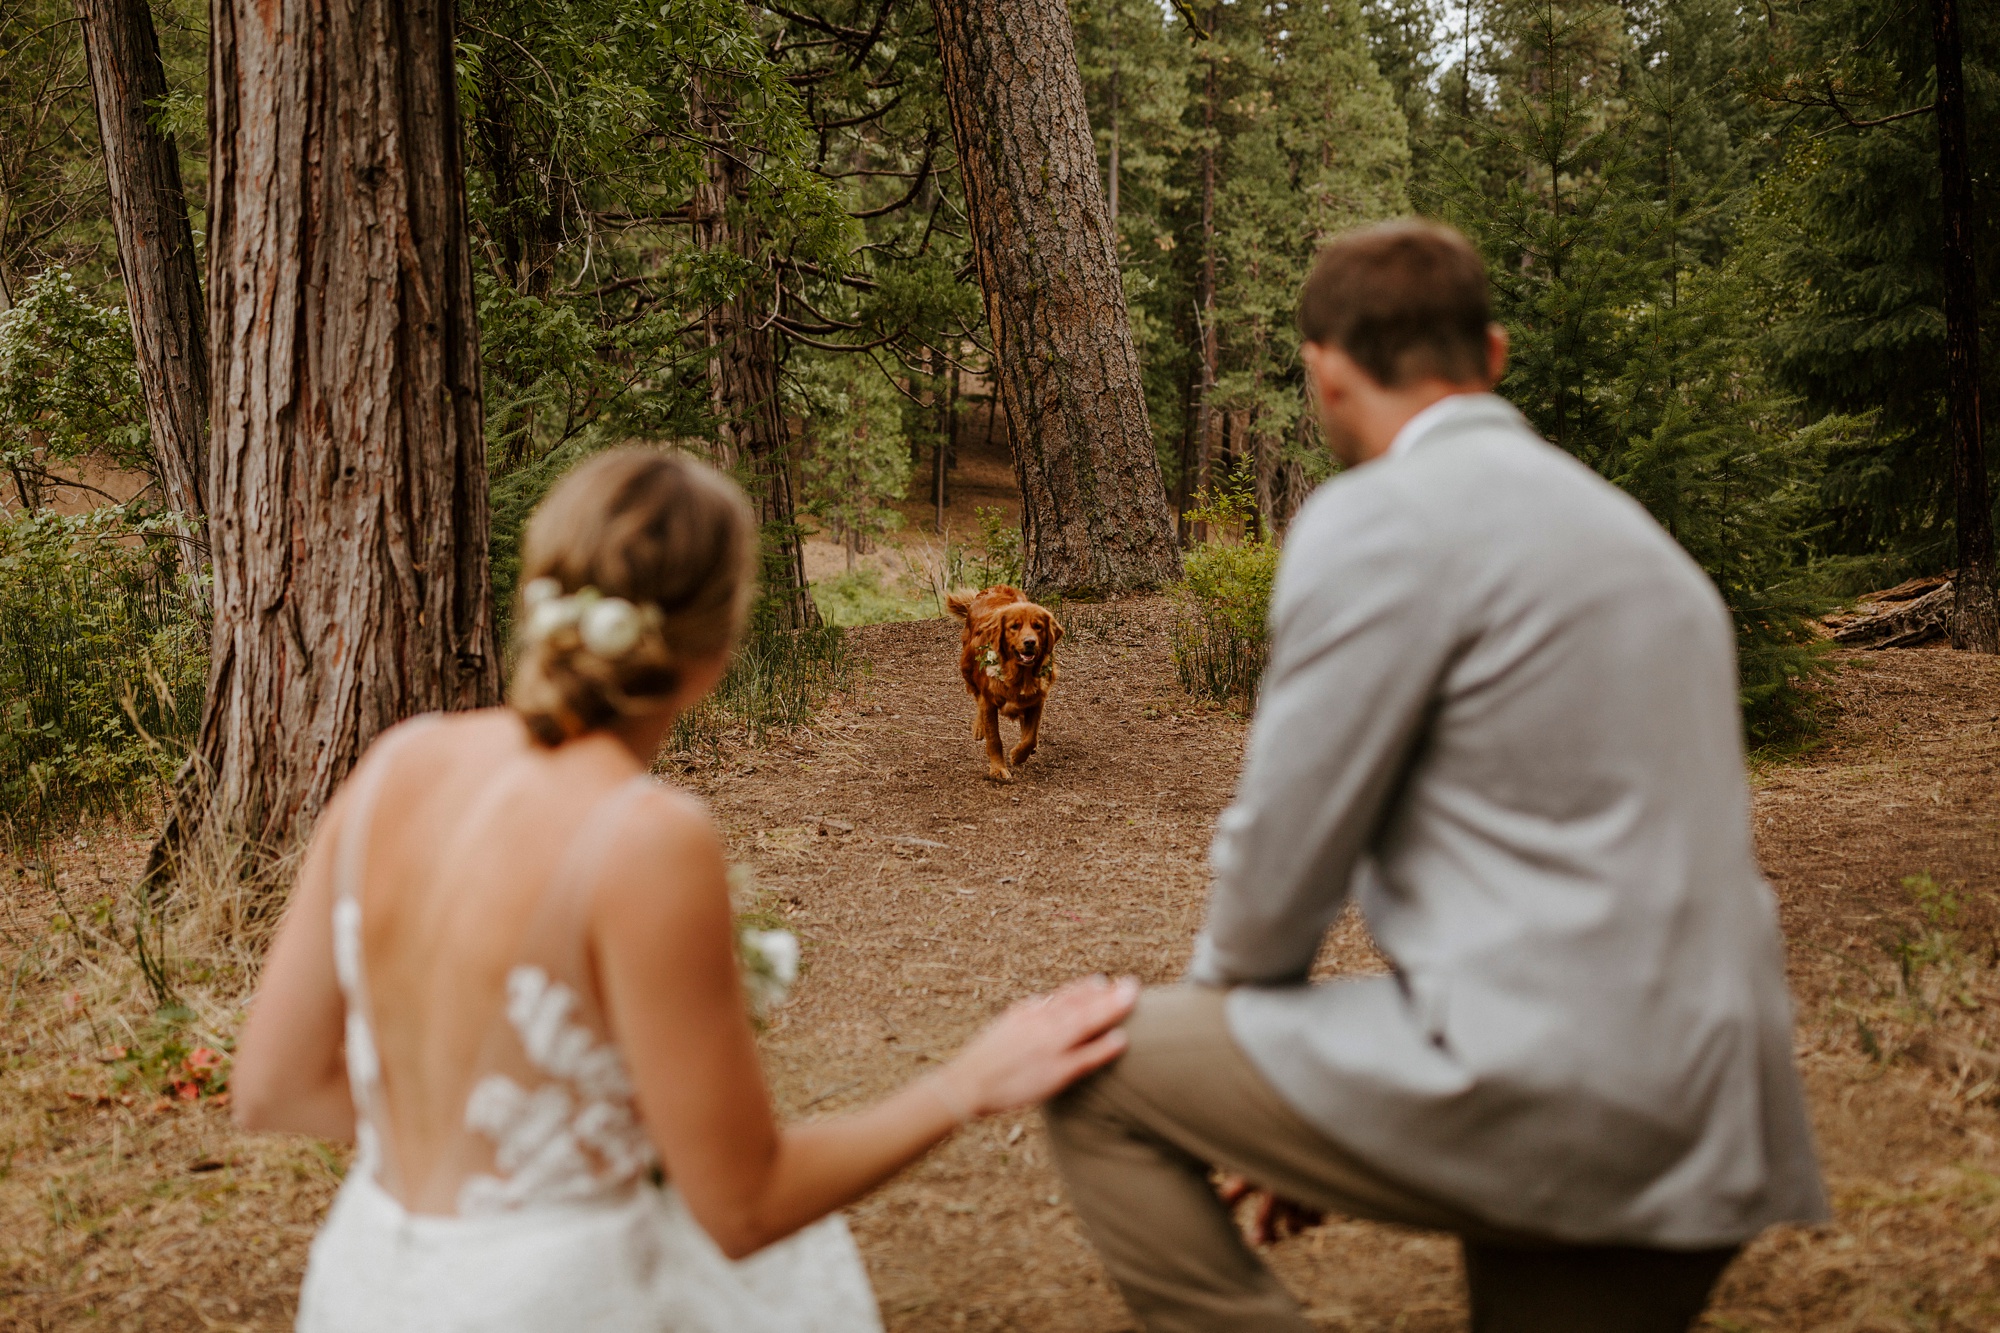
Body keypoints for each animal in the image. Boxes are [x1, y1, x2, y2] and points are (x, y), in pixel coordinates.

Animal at [948, 580, 1064, 780]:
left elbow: (1031, 736)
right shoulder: (989, 701)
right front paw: (998, 769)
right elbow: (994, 738)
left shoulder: (1037, 700)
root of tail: (995, 587)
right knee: (977, 698)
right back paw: (979, 728)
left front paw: (1018, 754)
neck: (1019, 674)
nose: (1030, 642)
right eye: (1014, 626)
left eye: (1038, 626)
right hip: (968, 670)